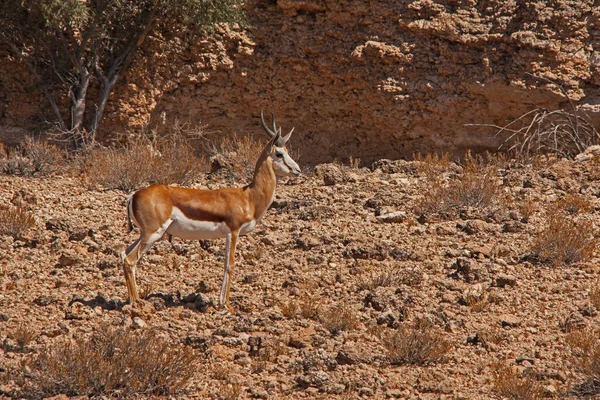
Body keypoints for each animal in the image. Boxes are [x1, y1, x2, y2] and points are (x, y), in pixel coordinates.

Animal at [120, 112, 302, 312]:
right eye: (279, 153)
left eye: (287, 151)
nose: (297, 170)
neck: (248, 197)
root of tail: (134, 195)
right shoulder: (233, 232)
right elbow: (229, 265)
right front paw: (227, 305)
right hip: (153, 233)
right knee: (130, 260)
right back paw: (136, 303)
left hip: (145, 234)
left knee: (124, 254)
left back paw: (132, 300)